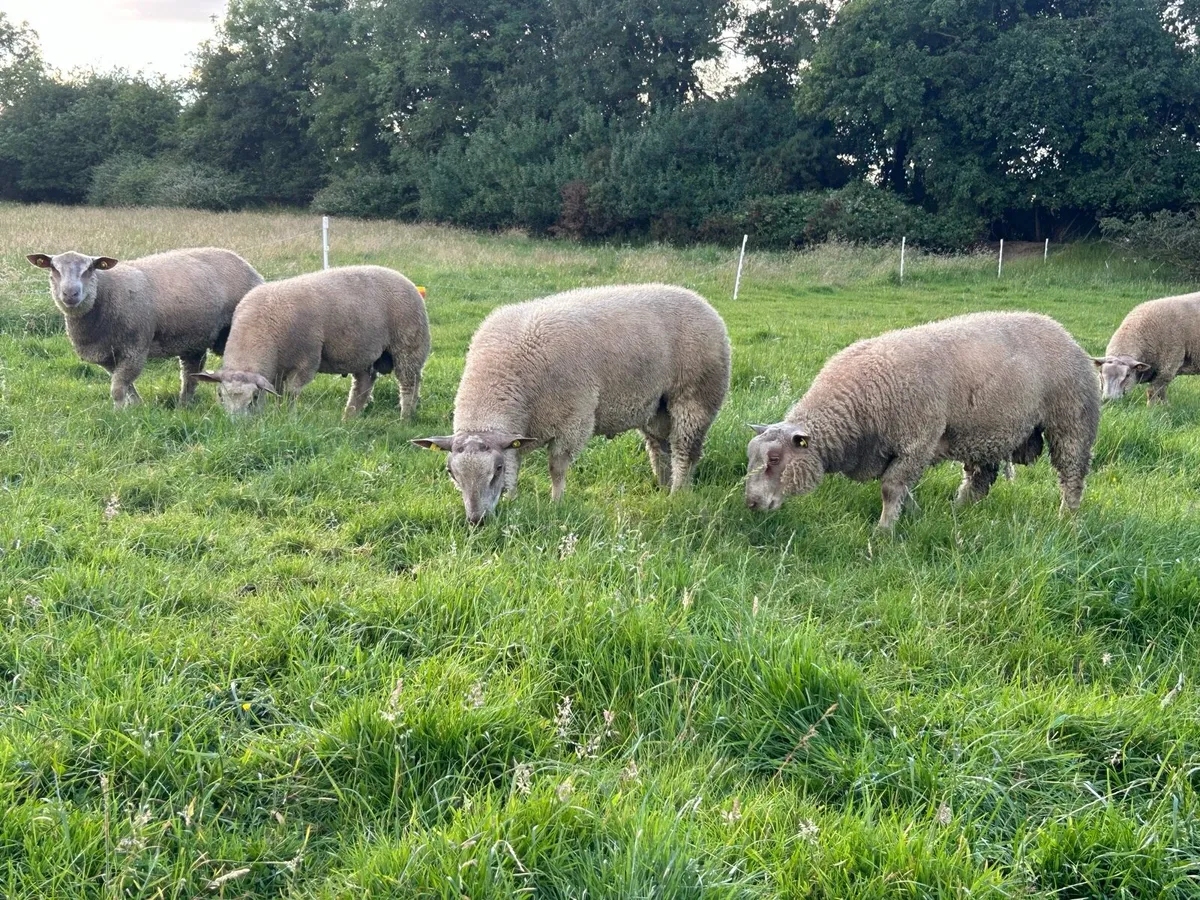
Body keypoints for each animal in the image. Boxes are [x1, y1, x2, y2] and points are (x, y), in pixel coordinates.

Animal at [26, 248, 263, 407]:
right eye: (53, 268)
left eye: (90, 269)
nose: (70, 294)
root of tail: (251, 268)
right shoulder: (108, 356)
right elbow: (125, 385)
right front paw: (136, 407)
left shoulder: (135, 349)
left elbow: (118, 389)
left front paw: (118, 414)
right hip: (193, 339)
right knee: (190, 374)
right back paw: (183, 405)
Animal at [196, 265, 430, 419]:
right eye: (220, 395)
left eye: (254, 398)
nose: (237, 425)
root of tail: (406, 281)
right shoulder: (279, 368)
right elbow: (279, 394)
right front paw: (279, 415)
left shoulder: (305, 361)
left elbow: (290, 394)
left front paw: (287, 418)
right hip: (363, 351)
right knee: (364, 383)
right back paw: (349, 417)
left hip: (408, 345)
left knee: (409, 383)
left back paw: (405, 417)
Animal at [412, 284, 730, 524]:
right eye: (451, 473)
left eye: (496, 470)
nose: (476, 520)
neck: (503, 376)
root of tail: (701, 300)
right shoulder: (518, 433)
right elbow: (517, 467)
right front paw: (513, 500)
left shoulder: (572, 420)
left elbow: (556, 469)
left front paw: (556, 504)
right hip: (656, 406)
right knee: (660, 447)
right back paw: (663, 486)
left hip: (695, 396)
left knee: (685, 450)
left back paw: (678, 493)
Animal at [744, 311, 1100, 530]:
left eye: (774, 459)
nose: (751, 502)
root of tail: (1061, 329)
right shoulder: (895, 451)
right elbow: (901, 487)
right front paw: (913, 515)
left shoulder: (918, 439)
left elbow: (890, 488)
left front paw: (884, 532)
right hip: (986, 432)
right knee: (980, 480)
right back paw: (958, 513)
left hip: (1071, 420)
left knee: (1072, 475)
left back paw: (1067, 519)